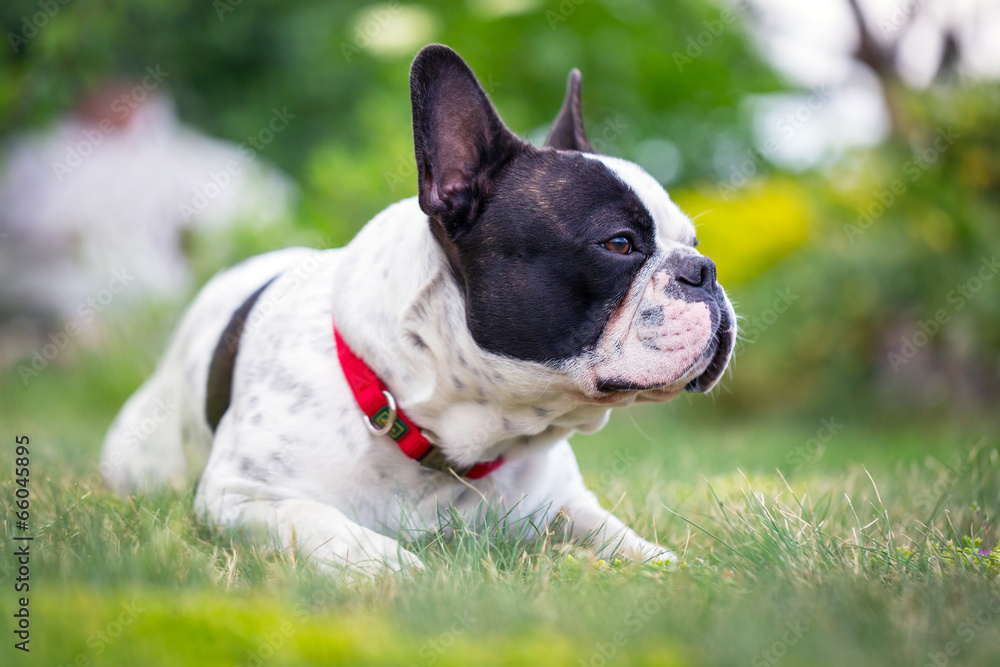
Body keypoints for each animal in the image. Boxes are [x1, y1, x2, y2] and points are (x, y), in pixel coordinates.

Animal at [101, 44, 736, 576]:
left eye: (695, 243)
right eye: (620, 244)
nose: (704, 271)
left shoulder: (564, 502)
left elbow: (615, 534)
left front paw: (677, 568)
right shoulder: (237, 496)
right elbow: (314, 518)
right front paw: (394, 567)